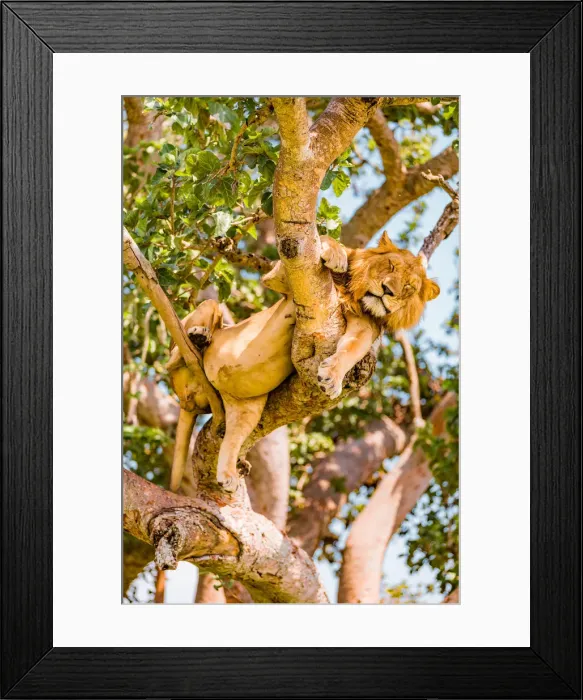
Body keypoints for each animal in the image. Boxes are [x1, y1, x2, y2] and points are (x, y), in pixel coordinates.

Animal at [167, 232, 439, 492]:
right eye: (390, 265)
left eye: (409, 286)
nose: (387, 290)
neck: (356, 295)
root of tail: (189, 402)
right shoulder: (279, 279)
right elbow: (327, 242)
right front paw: (336, 255)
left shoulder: (364, 327)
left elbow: (350, 351)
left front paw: (332, 378)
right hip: (207, 311)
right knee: (174, 356)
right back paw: (199, 338)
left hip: (246, 409)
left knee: (231, 440)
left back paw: (228, 476)